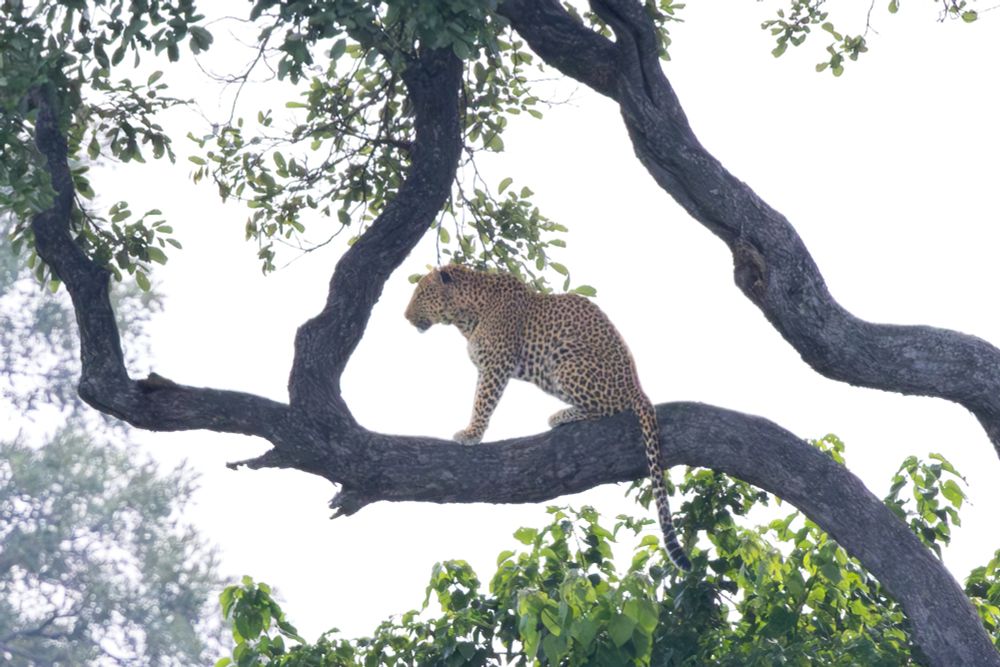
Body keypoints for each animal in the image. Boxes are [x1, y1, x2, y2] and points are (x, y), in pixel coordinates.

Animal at [405, 263, 692, 571]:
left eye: (421, 293)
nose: (406, 316)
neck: (466, 313)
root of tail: (638, 387)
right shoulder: (488, 364)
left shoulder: (496, 363)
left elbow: (483, 400)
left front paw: (472, 434)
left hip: (564, 363)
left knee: (607, 407)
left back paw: (561, 416)